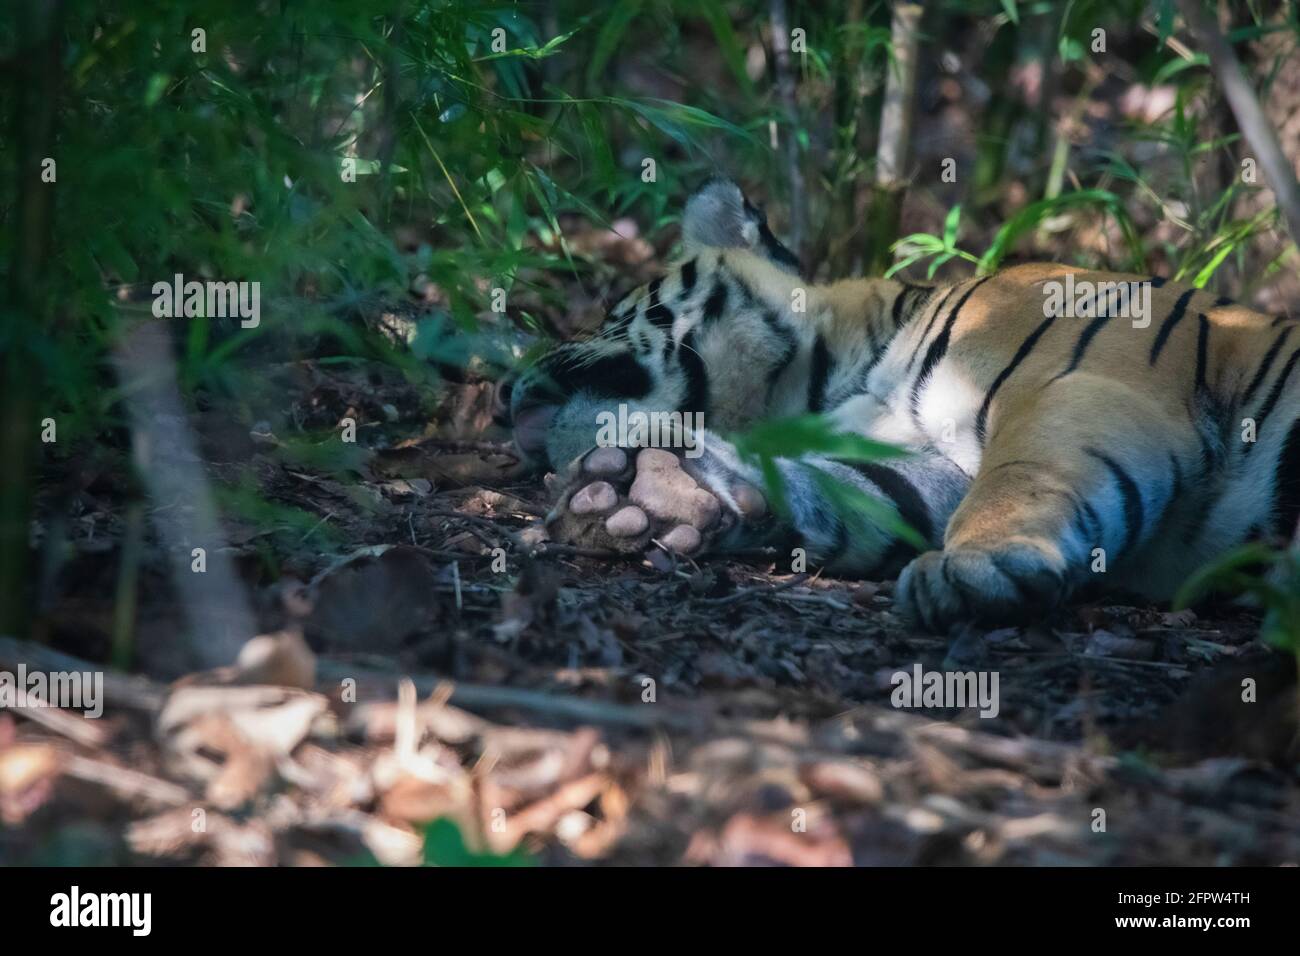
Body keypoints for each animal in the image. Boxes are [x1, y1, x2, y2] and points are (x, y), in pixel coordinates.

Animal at [493, 178, 1300, 634]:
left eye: (607, 309)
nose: (501, 392)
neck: (841, 380)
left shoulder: (1089, 386)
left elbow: (1020, 479)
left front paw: (976, 572)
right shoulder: (926, 462)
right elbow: (854, 489)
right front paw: (646, 497)